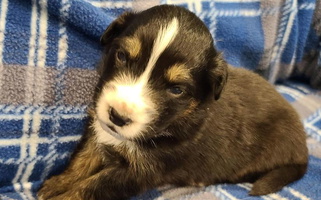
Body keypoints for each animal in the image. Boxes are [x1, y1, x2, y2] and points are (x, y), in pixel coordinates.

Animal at [37, 4, 308, 200]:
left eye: (177, 90)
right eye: (122, 56)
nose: (118, 117)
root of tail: (303, 149)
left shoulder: (140, 171)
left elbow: (94, 185)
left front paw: (63, 196)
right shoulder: (100, 130)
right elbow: (82, 159)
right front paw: (56, 184)